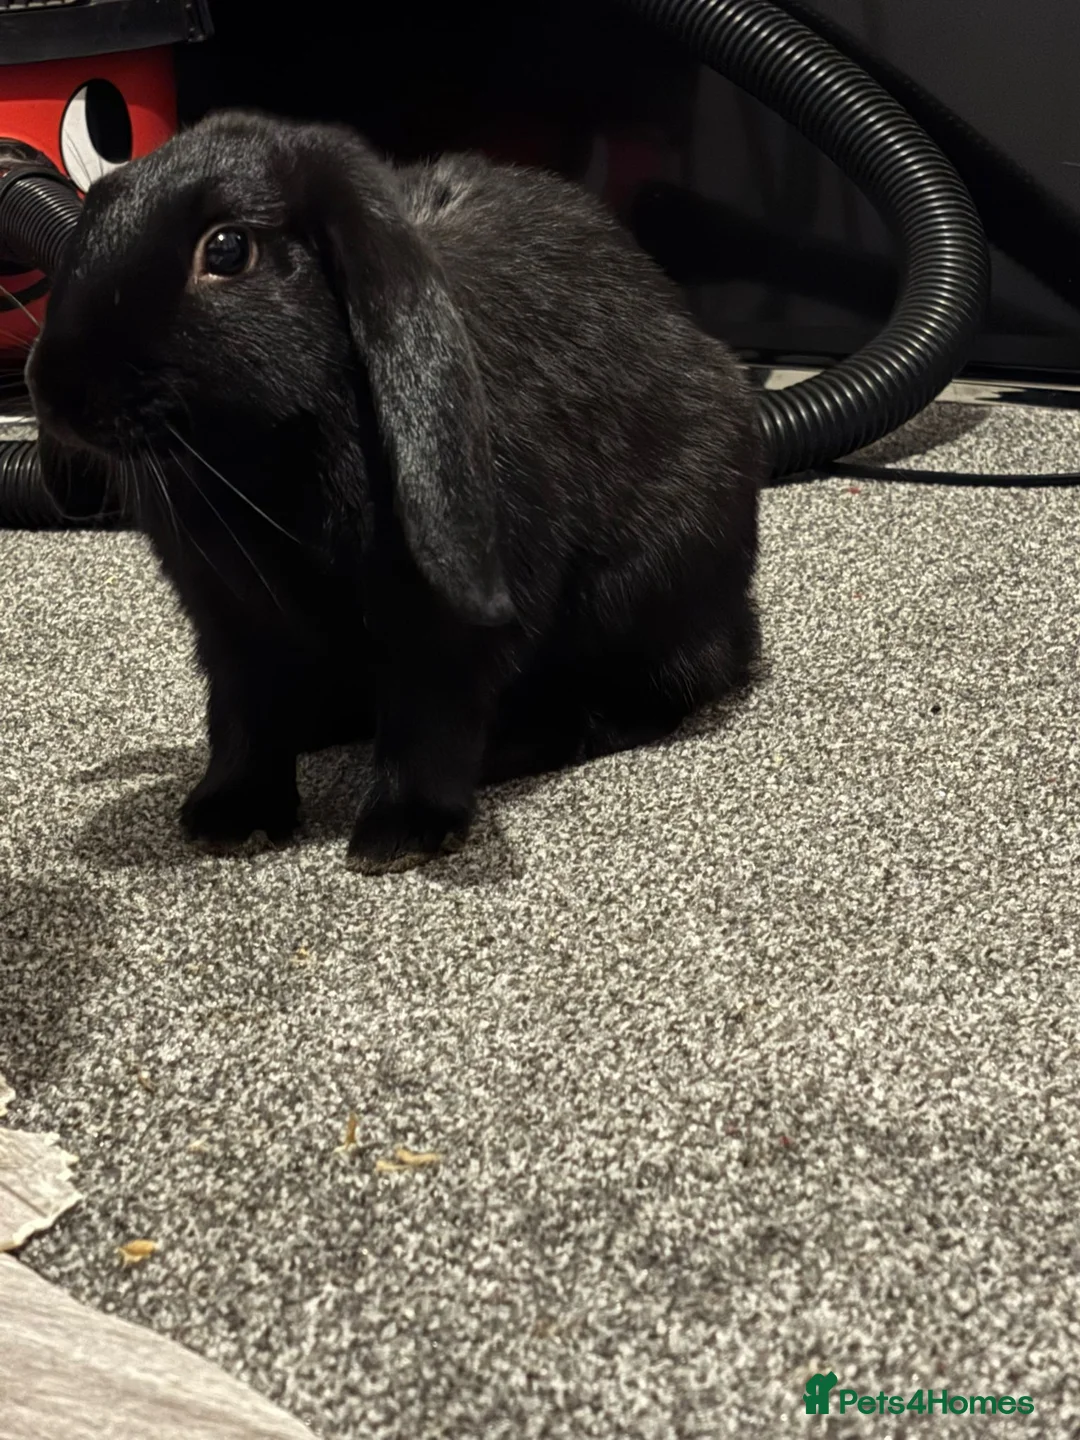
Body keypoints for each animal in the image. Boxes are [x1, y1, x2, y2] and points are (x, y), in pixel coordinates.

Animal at [27, 109, 762, 873]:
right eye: (96, 208)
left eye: (227, 249)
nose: (57, 391)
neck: (261, 464)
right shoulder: (231, 621)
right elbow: (243, 714)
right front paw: (229, 817)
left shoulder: (443, 625)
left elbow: (429, 717)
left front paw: (400, 836)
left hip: (647, 588)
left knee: (660, 689)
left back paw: (520, 745)